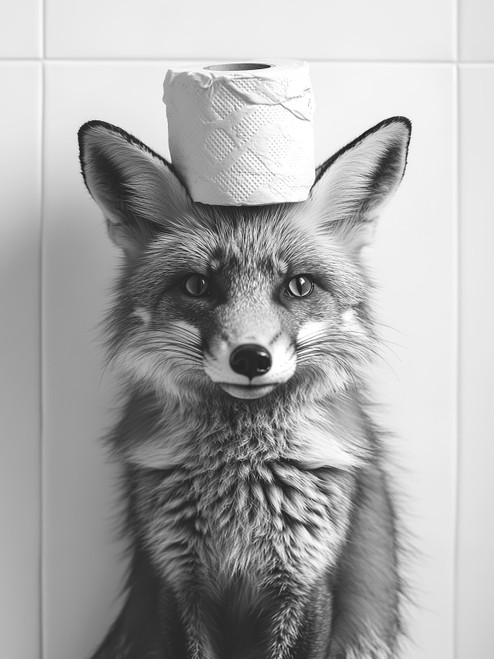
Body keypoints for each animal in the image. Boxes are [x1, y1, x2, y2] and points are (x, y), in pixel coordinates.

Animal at [78, 114, 411, 659]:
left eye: (298, 286)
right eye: (197, 286)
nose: (251, 359)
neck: (243, 470)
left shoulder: (306, 580)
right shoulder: (179, 580)